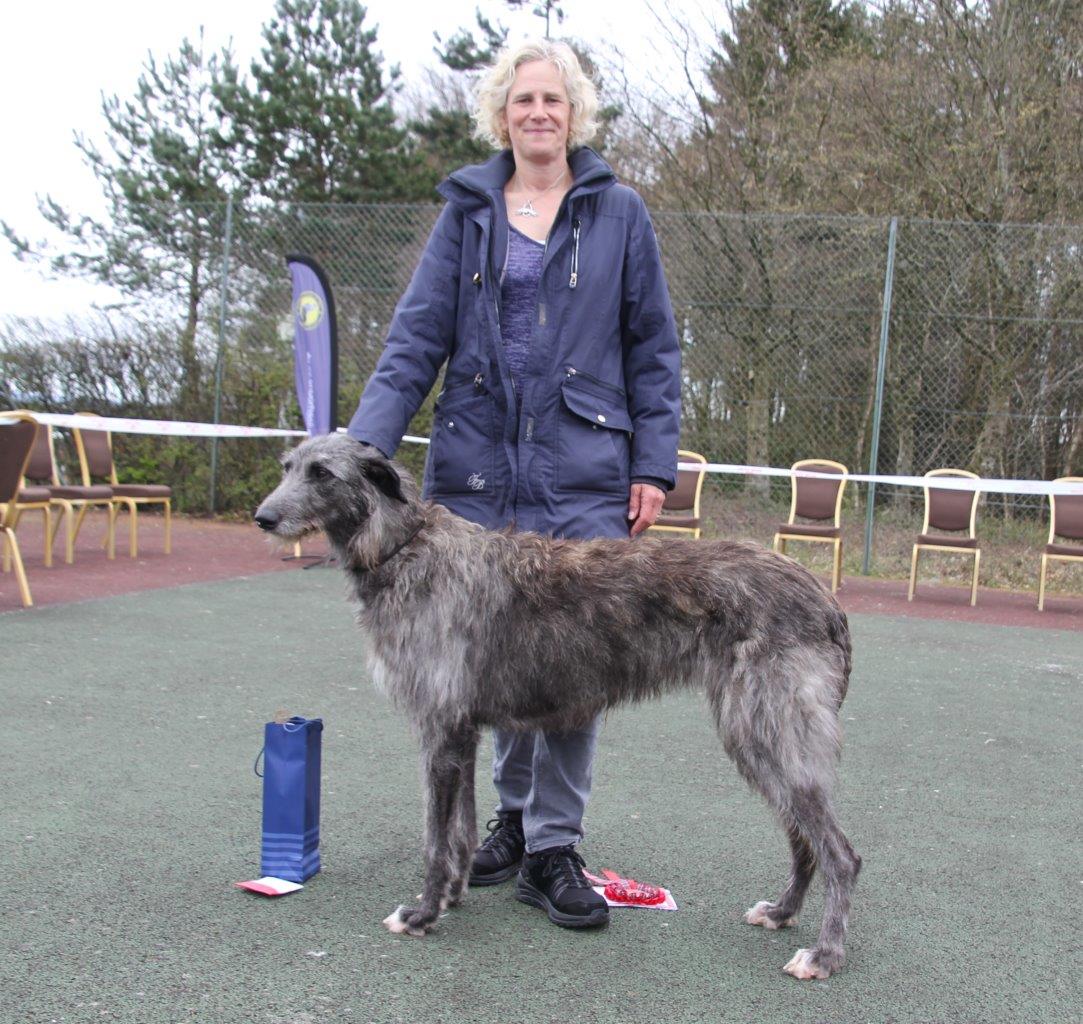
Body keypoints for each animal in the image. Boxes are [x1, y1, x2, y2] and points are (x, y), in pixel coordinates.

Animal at [255, 430, 862, 974]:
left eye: (322, 474)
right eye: (287, 466)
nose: (263, 518)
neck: (404, 546)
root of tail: (826, 601)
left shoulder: (440, 729)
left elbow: (435, 837)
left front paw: (422, 914)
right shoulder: (461, 731)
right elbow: (461, 831)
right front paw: (450, 896)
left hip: (767, 729)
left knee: (841, 853)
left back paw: (826, 954)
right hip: (762, 738)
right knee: (805, 839)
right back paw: (782, 911)